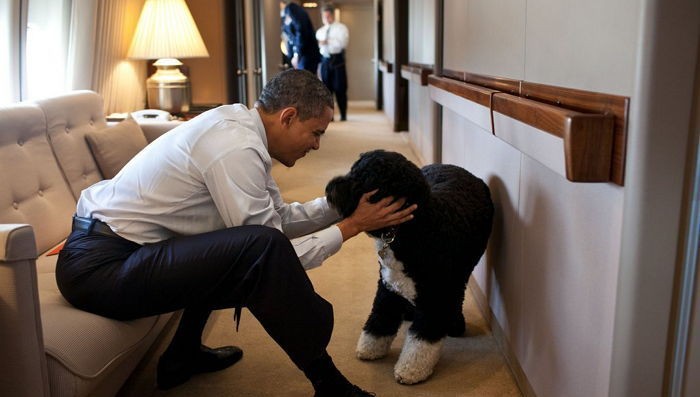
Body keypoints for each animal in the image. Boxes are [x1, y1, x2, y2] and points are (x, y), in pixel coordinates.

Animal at [324, 149, 492, 384]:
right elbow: (380, 318)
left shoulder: (436, 296)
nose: (330, 187)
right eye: (353, 169)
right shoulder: (388, 286)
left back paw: (454, 323)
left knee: (457, 296)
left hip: (460, 273)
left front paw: (411, 370)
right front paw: (370, 348)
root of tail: (453, 167)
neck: (417, 227)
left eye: (364, 179)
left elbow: (422, 341)